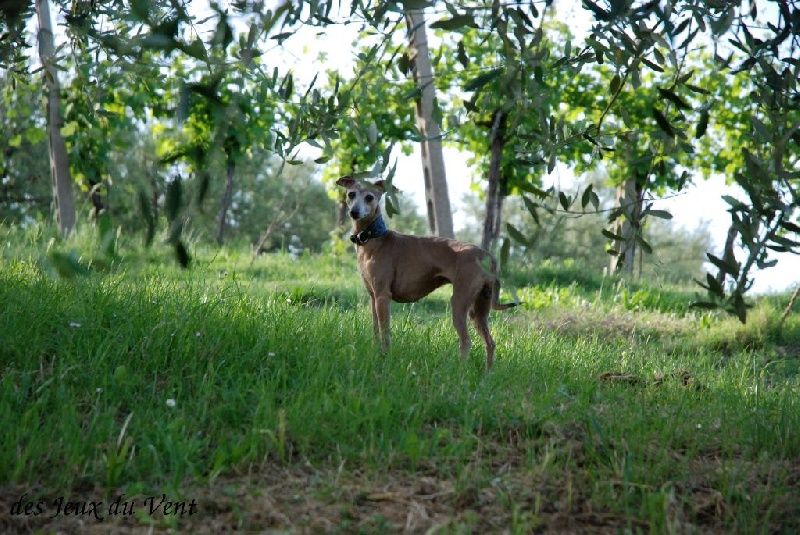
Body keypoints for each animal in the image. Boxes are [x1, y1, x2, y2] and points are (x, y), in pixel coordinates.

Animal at [334, 177, 516, 372]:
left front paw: (384, 358)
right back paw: (487, 374)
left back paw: (459, 373)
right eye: (351, 194)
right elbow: (376, 331)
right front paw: (375, 354)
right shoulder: (373, 297)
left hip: (459, 303)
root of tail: (488, 256)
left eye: (369, 197)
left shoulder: (383, 296)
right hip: (479, 309)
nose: (354, 212)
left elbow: (385, 333)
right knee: (490, 343)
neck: (374, 238)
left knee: (466, 342)